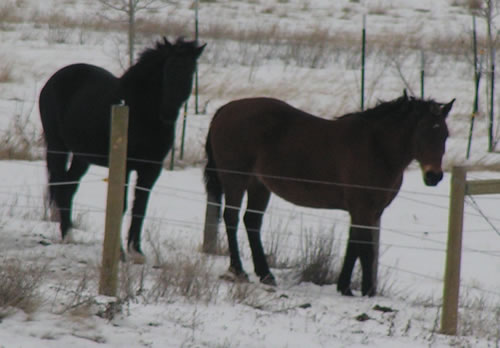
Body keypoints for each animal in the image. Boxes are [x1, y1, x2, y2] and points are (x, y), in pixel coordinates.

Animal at [38, 36, 204, 262]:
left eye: (190, 71)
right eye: (168, 69)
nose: (168, 113)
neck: (140, 111)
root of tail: (52, 81)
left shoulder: (151, 169)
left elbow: (140, 207)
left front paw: (137, 251)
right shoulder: (124, 166)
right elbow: (122, 205)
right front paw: (120, 252)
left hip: (82, 156)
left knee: (69, 187)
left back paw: (69, 234)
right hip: (58, 147)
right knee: (61, 184)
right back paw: (67, 235)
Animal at [202, 92, 454, 296]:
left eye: (445, 135)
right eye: (422, 133)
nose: (434, 176)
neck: (376, 148)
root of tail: (225, 109)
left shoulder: (371, 210)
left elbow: (354, 245)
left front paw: (345, 287)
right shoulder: (362, 208)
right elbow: (365, 249)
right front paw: (367, 292)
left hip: (259, 185)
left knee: (252, 222)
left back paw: (266, 275)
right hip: (235, 181)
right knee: (231, 219)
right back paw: (238, 270)